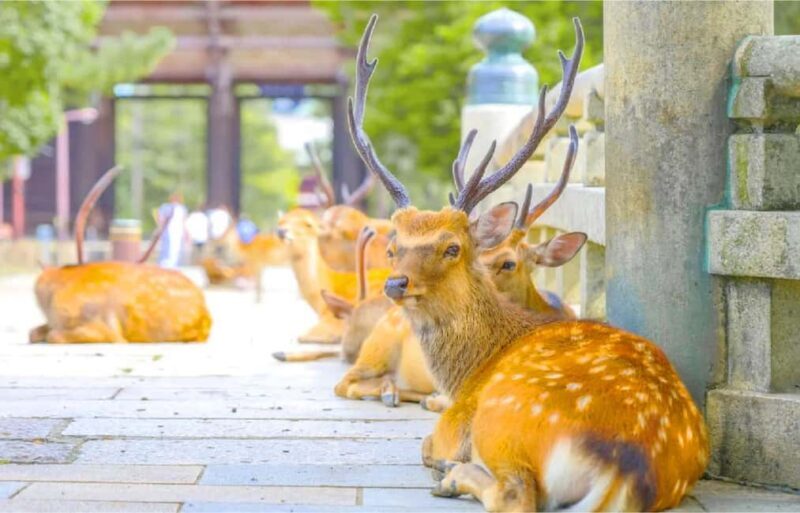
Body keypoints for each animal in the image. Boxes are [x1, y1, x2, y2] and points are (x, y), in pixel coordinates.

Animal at [346, 15, 708, 512]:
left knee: (515, 494)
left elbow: (425, 445)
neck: (468, 370)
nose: (396, 284)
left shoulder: (454, 419)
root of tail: (627, 468)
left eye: (453, 247)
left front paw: (445, 464)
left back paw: (454, 475)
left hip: (502, 418)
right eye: (392, 246)